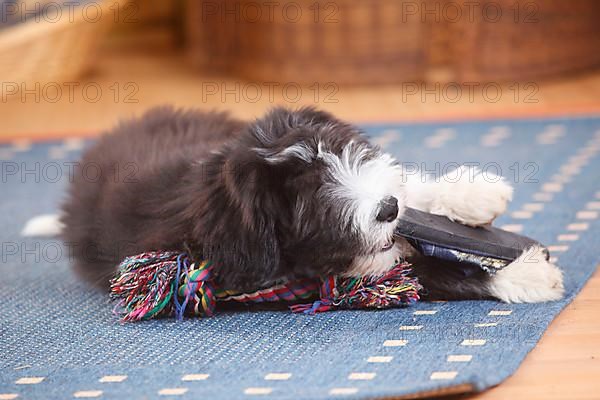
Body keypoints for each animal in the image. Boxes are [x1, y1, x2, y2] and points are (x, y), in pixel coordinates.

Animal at [24, 106, 568, 304]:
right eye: (308, 200)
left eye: (340, 150)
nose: (385, 210)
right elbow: (426, 273)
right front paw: (525, 277)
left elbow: (401, 184)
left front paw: (469, 193)